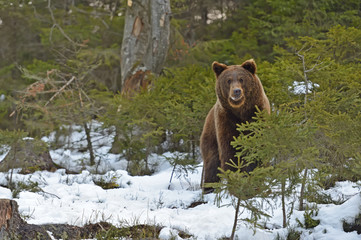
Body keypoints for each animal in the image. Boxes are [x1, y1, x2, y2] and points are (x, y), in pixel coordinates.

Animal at [200, 59, 270, 194]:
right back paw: (209, 188)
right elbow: (229, 151)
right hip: (210, 135)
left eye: (241, 79)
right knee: (211, 162)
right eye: (228, 80)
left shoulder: (257, 116)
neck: (241, 112)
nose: (236, 91)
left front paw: (253, 179)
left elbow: (256, 149)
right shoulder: (226, 120)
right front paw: (236, 180)